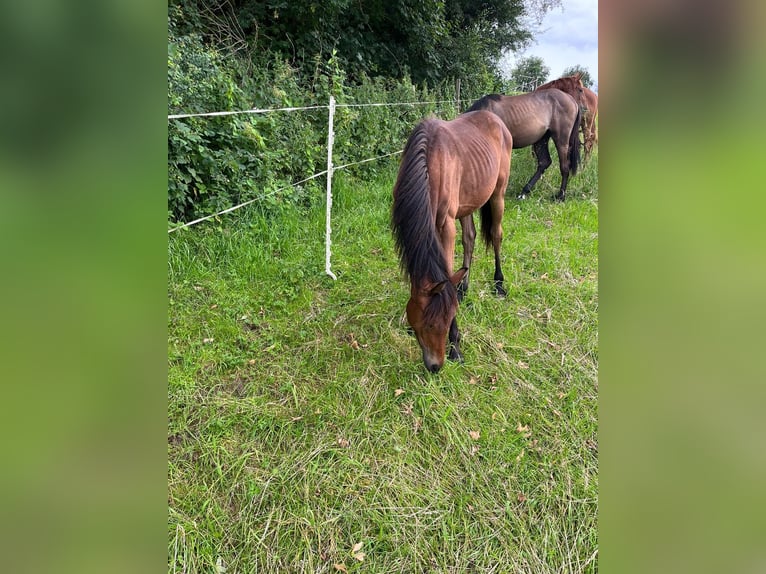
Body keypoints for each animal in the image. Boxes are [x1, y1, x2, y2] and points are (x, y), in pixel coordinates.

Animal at [392, 111, 512, 376]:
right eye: (426, 325)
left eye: (447, 320)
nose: (435, 366)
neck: (430, 162)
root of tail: (497, 120)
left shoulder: (445, 226)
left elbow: (446, 271)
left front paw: (456, 346)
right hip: (468, 203)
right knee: (470, 239)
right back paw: (463, 287)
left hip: (498, 194)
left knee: (496, 235)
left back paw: (499, 283)